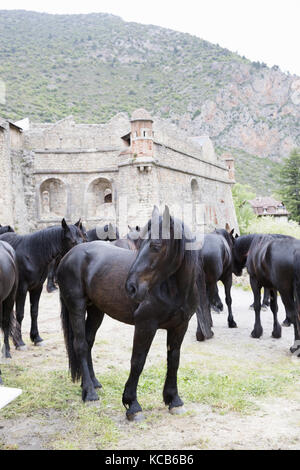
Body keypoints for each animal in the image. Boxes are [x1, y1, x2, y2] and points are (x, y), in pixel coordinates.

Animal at [0, 218, 85, 346]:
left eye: (82, 238)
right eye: (72, 241)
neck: (32, 255)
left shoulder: (37, 287)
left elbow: (34, 312)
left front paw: (36, 337)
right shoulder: (21, 289)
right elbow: (20, 313)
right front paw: (19, 341)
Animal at [56, 207, 206, 420]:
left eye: (156, 245)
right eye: (140, 243)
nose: (131, 287)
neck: (172, 289)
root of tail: (69, 255)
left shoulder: (180, 326)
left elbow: (174, 360)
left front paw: (174, 400)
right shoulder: (145, 325)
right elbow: (137, 361)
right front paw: (132, 404)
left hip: (96, 311)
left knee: (88, 341)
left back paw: (92, 383)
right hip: (76, 307)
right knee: (80, 345)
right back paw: (90, 394)